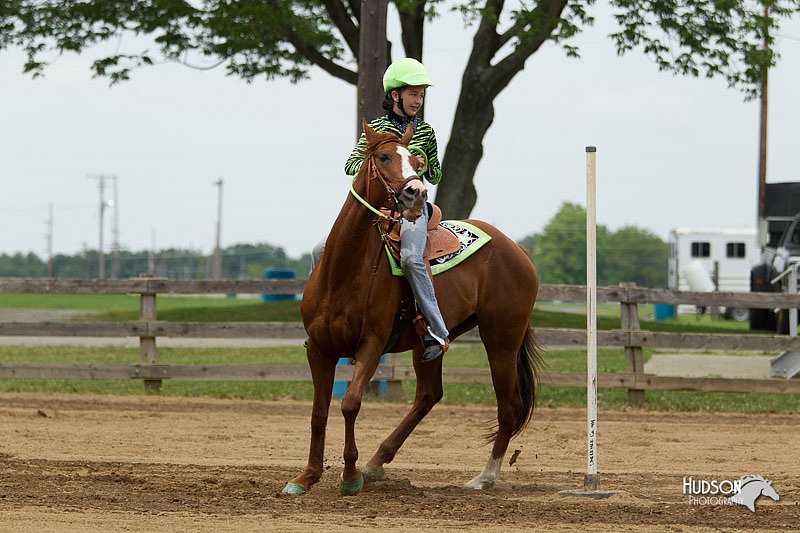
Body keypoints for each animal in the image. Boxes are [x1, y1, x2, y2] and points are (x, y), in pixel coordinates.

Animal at [282, 123, 544, 494]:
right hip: (429, 345)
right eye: (383, 156)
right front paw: (306, 477)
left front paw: (350, 476)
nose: (415, 193)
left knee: (509, 408)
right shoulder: (319, 349)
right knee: (429, 394)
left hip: (502, 342)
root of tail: (517, 250)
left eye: (417, 161)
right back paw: (378, 461)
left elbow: (350, 403)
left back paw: (484, 477)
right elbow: (319, 413)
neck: (345, 272)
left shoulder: (371, 346)